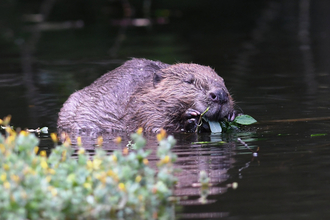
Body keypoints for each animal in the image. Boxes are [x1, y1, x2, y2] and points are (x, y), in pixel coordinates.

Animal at [57, 58, 237, 132]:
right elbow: (156, 127)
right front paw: (190, 118)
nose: (220, 95)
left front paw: (232, 115)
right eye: (189, 81)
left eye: (222, 80)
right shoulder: (142, 109)